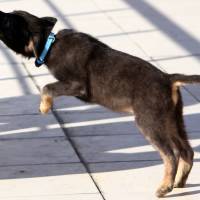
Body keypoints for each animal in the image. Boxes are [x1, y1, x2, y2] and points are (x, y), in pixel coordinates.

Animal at [0, 9, 200, 197]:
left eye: (8, 22)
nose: (0, 13)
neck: (50, 44)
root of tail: (168, 78)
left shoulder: (77, 85)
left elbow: (47, 87)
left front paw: (44, 106)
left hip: (149, 122)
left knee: (170, 156)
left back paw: (164, 188)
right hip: (172, 120)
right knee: (187, 151)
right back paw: (179, 182)